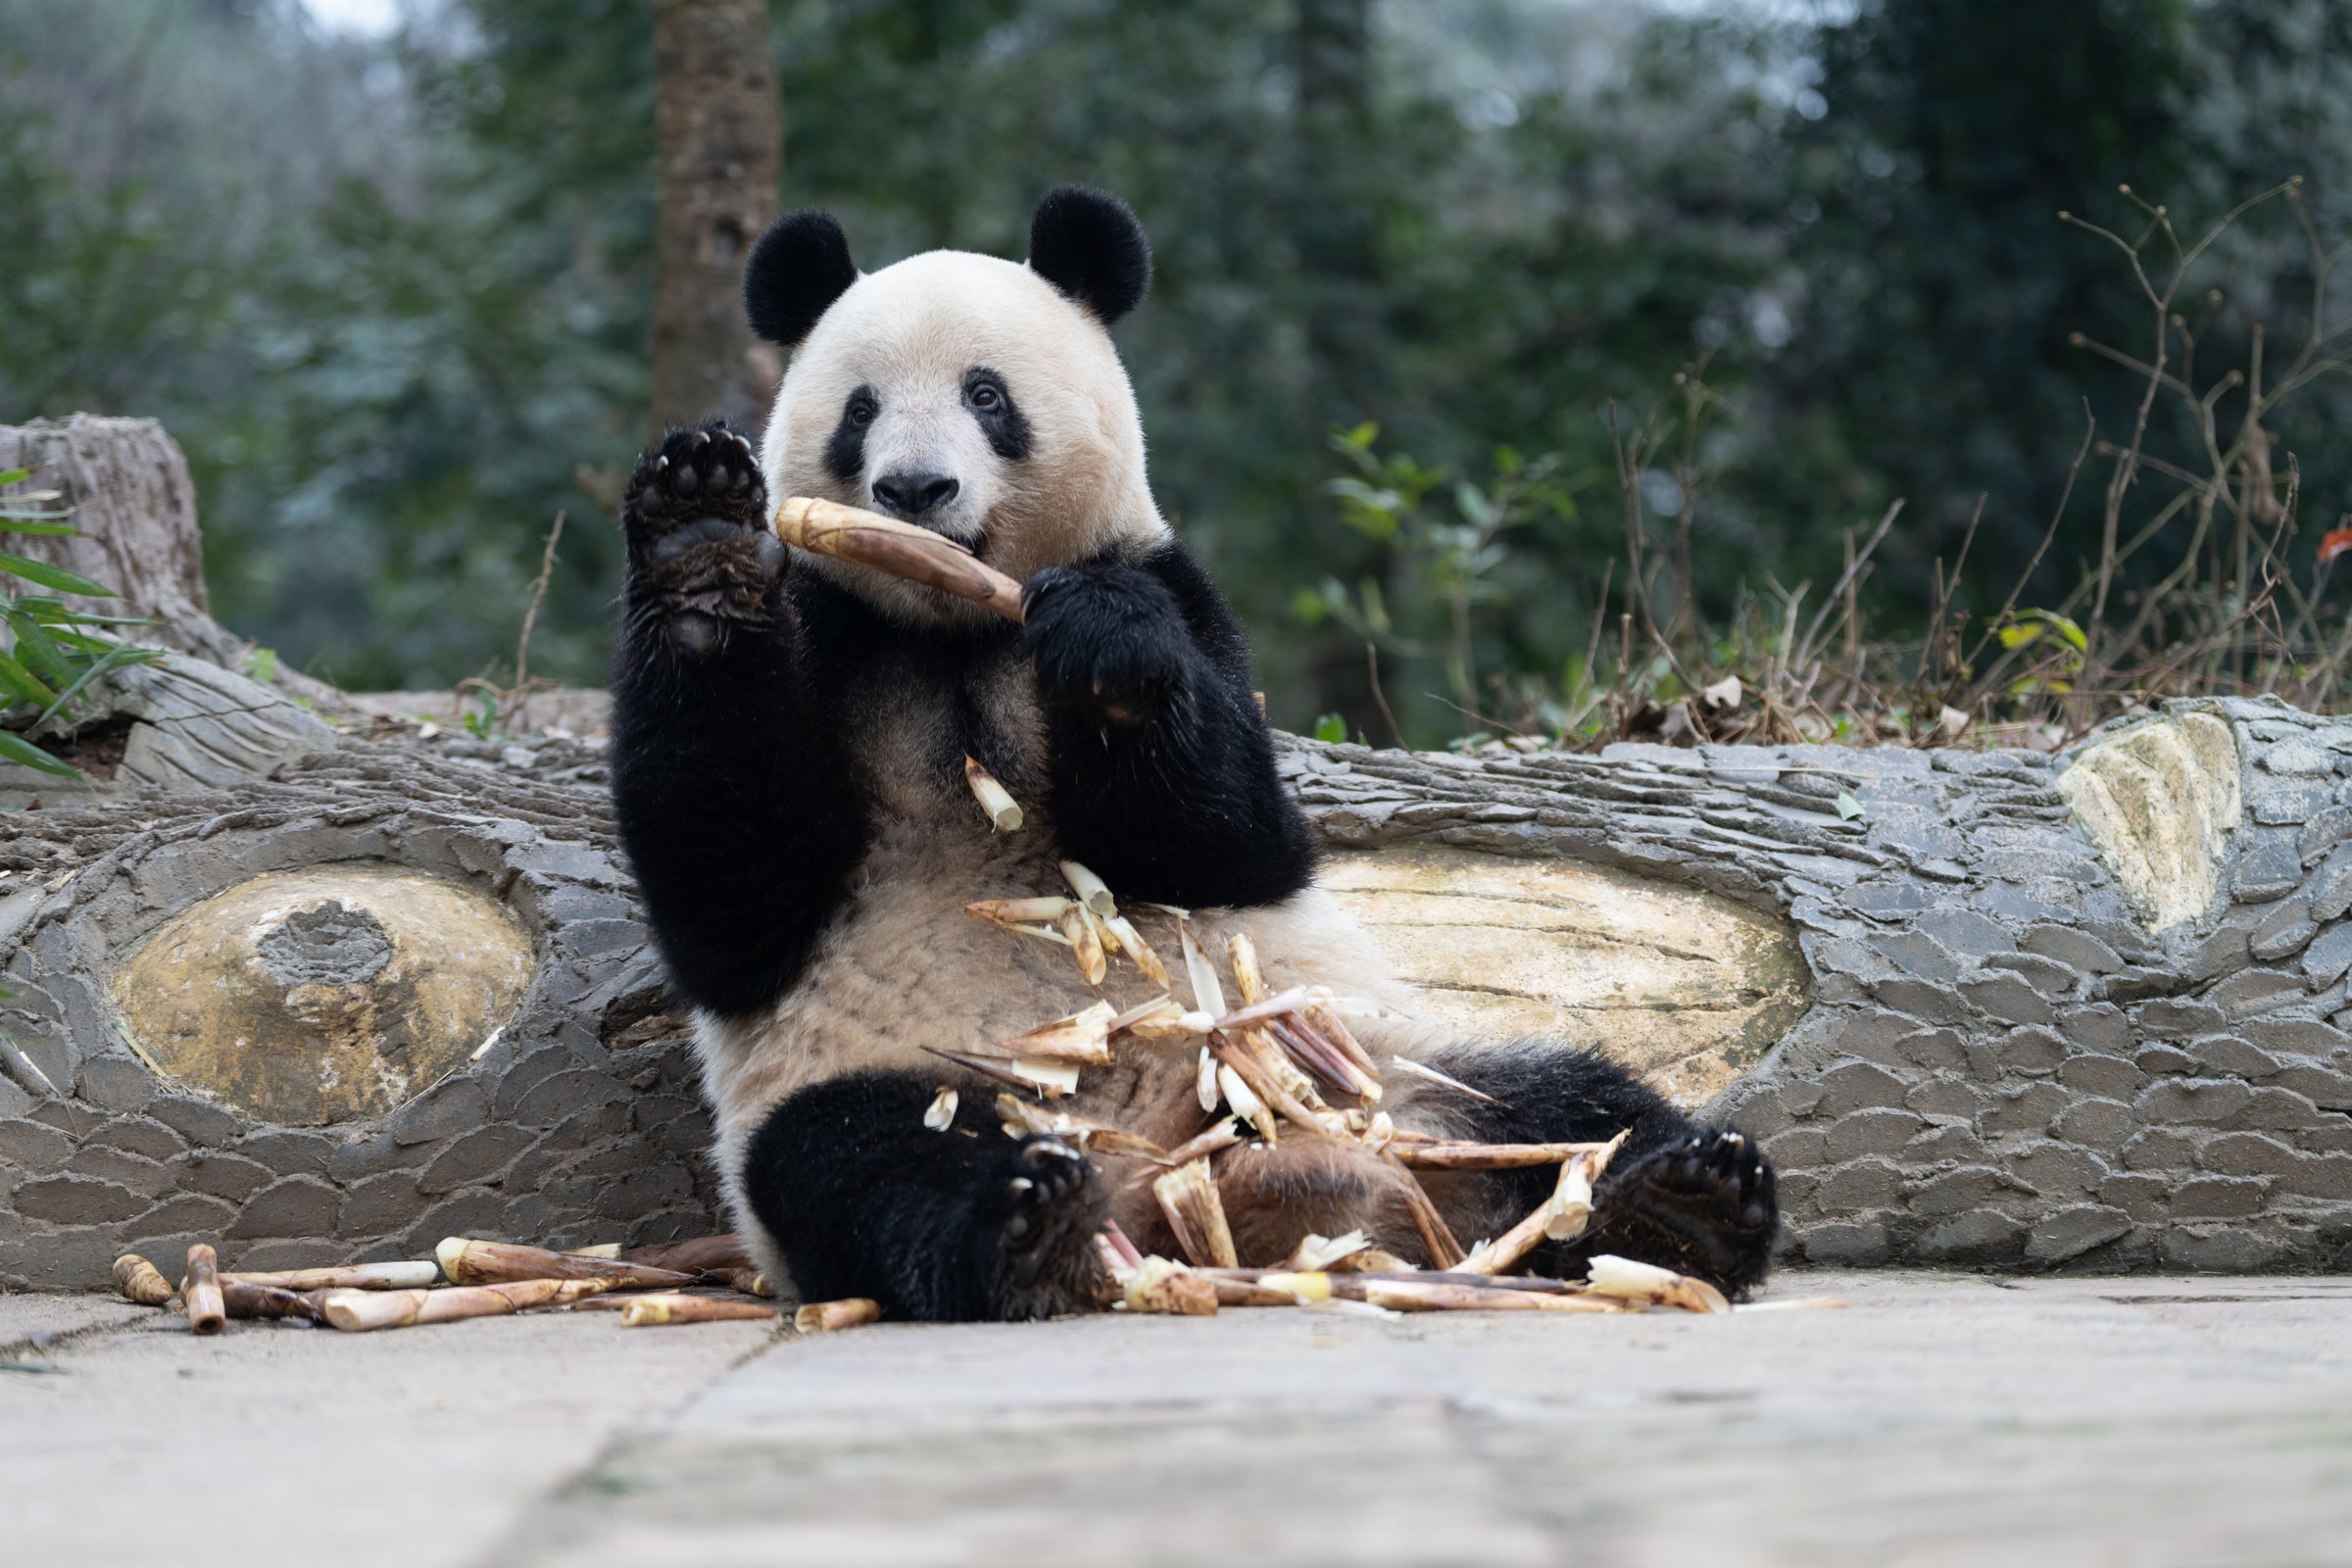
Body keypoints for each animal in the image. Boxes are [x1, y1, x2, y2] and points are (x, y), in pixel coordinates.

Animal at [607, 186, 1778, 1322]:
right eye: (861, 410)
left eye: (987, 397)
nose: (914, 492)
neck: (954, 628)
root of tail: (1183, 1175)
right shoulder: (833, 630)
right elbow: (737, 899)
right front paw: (703, 545)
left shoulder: (1178, 590)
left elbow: (1229, 838)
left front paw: (1108, 651)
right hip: (906, 1073)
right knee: (869, 1161)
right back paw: (1024, 1222)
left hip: (1369, 1056)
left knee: (1570, 1104)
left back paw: (1686, 1207)